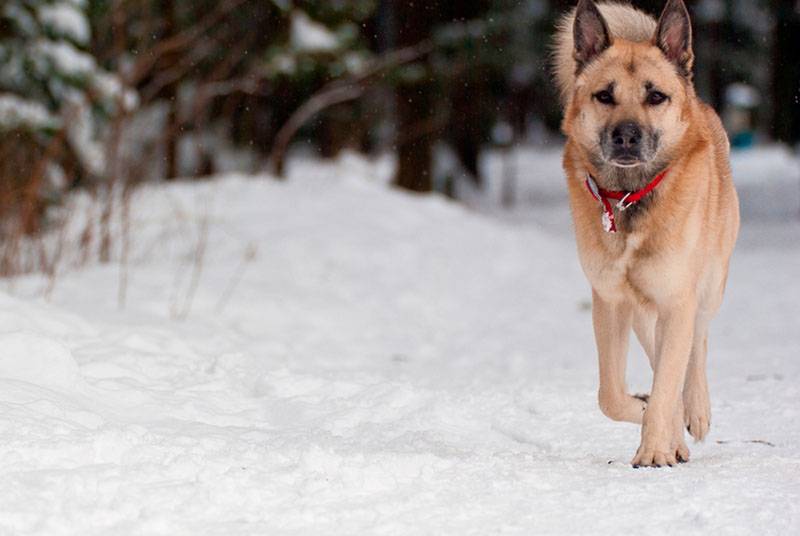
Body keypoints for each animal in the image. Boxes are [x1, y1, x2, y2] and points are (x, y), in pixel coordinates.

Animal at [552, 0, 740, 466]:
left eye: (656, 96)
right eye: (605, 95)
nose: (625, 136)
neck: (629, 198)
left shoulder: (678, 299)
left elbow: (673, 375)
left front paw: (655, 450)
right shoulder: (611, 302)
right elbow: (611, 395)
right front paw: (654, 421)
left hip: (709, 286)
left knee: (697, 345)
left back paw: (695, 411)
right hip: (642, 312)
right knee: (661, 361)